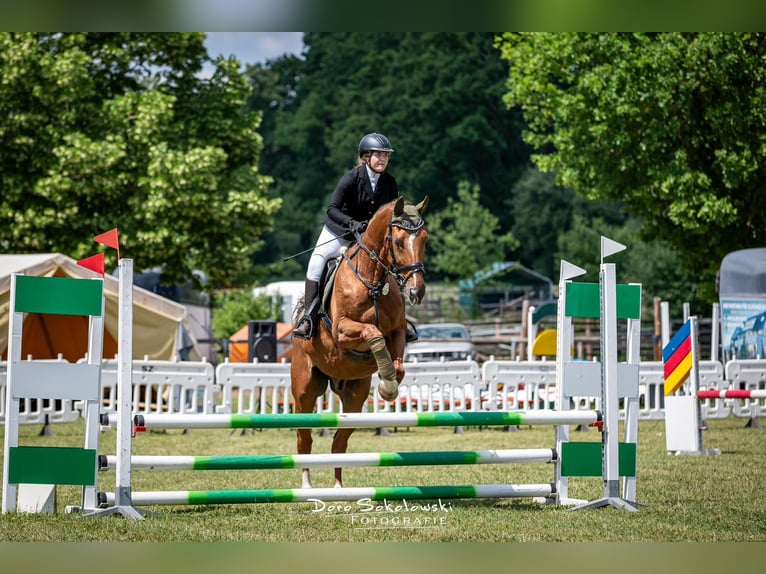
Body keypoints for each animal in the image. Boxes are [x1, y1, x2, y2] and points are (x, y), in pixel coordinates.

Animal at [292, 196, 428, 488]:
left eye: (425, 239)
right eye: (398, 241)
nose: (416, 291)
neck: (373, 281)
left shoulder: (398, 331)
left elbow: (398, 365)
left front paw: (388, 387)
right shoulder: (342, 331)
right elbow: (371, 332)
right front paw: (387, 383)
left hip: (354, 397)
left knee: (339, 443)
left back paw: (338, 488)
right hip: (305, 390)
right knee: (304, 438)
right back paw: (307, 486)